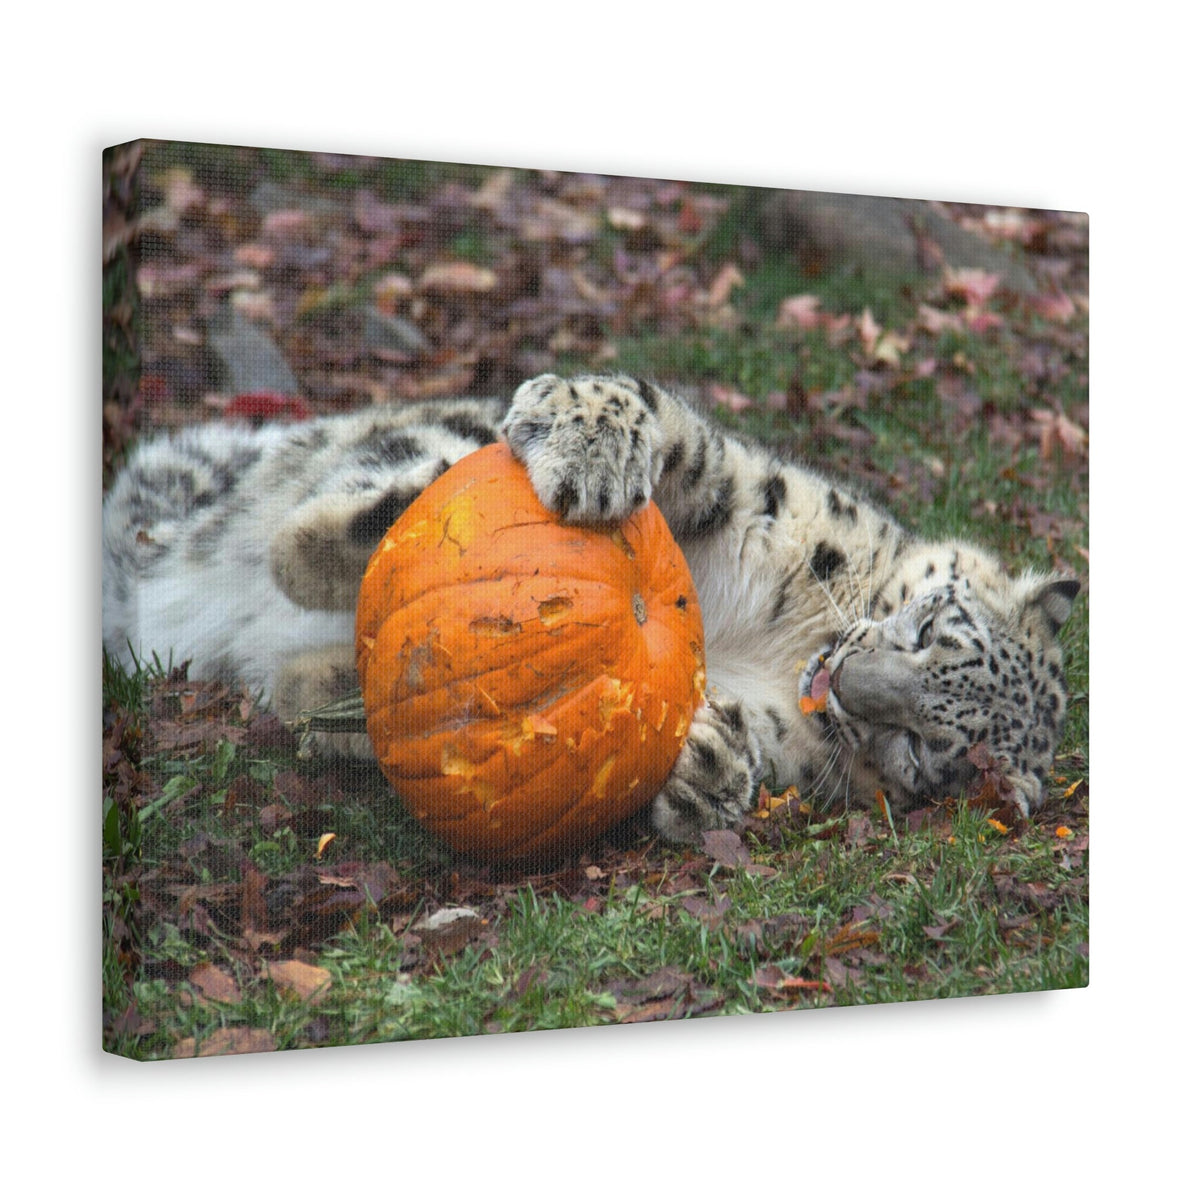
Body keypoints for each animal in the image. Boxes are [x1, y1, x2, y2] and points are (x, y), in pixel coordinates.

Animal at [103, 373, 1080, 842]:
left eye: (921, 748)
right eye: (931, 625)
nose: (846, 681)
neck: (790, 636)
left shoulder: (800, 741)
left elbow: (751, 744)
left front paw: (708, 768)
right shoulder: (766, 499)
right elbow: (680, 436)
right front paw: (591, 443)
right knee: (326, 517)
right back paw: (406, 508)